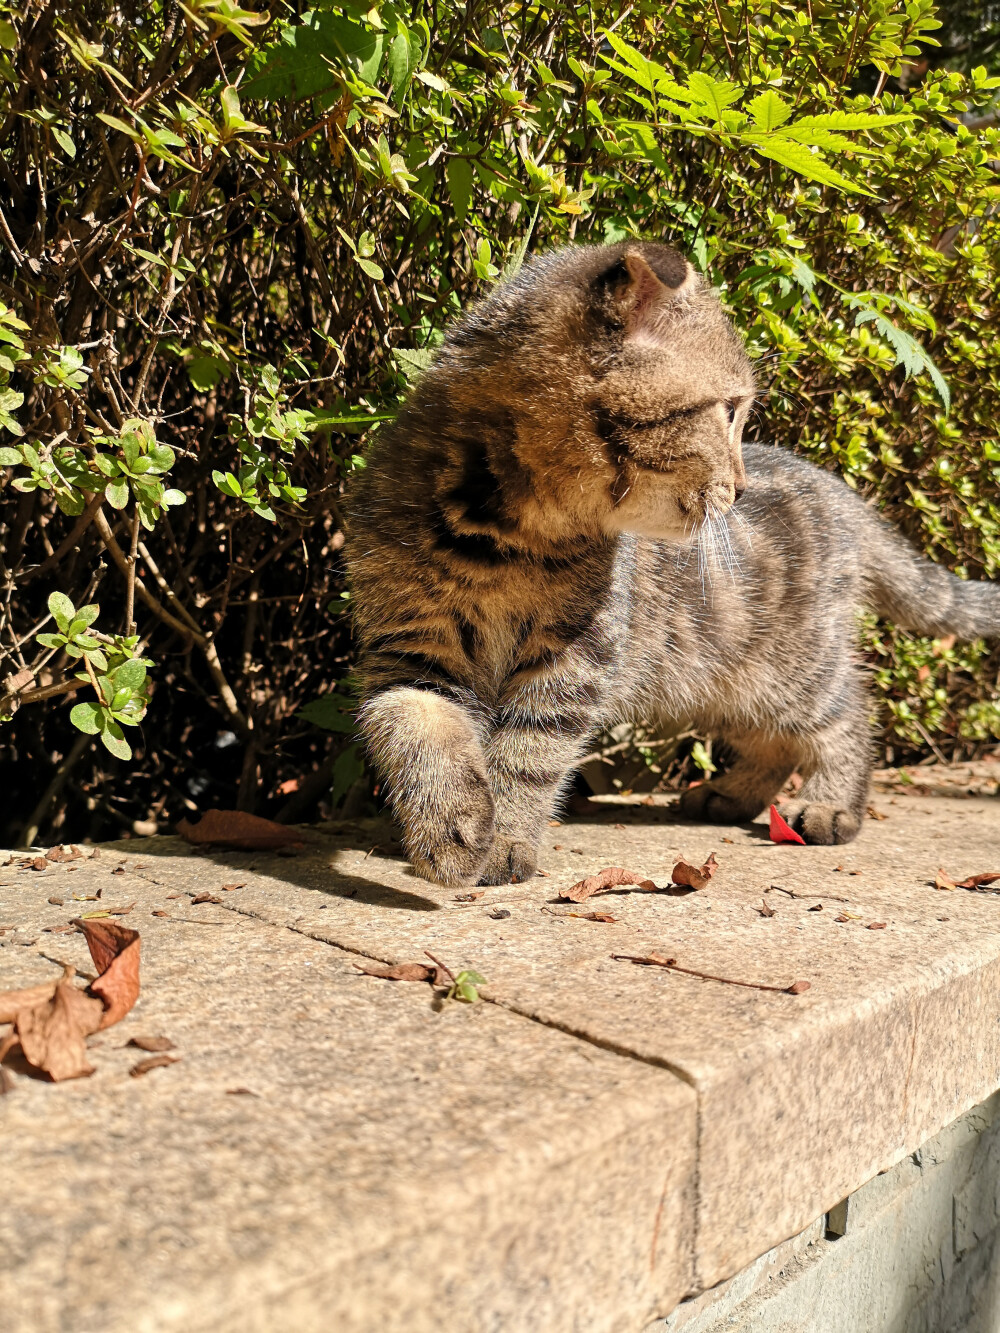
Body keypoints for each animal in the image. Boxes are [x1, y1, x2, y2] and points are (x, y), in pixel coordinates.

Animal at [346, 239, 1000, 885]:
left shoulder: (576, 658)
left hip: (791, 667)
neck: (502, 536)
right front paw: (450, 827)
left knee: (848, 717)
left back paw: (829, 804)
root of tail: (839, 489)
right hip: (720, 679)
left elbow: (529, 752)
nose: (738, 486)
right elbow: (412, 727)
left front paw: (505, 837)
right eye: (730, 408)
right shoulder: (409, 648)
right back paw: (729, 794)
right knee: (775, 742)